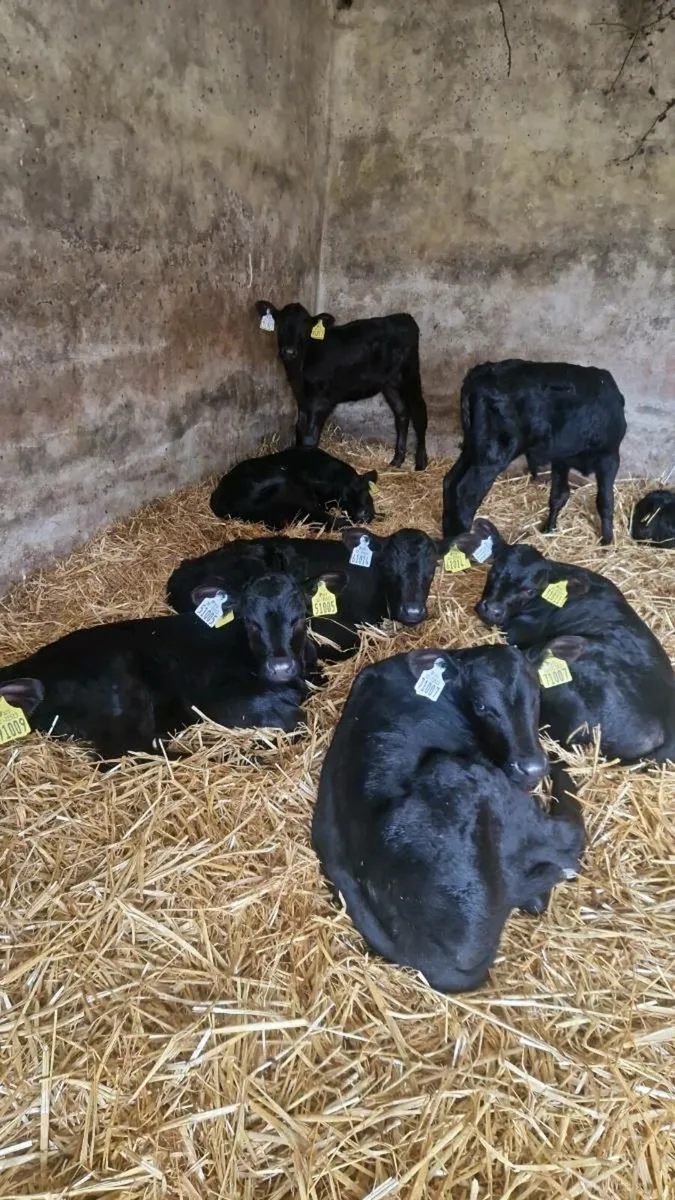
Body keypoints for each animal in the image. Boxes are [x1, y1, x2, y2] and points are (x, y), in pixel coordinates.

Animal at [255, 300, 428, 470]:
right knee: (402, 414)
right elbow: (299, 431)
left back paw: (421, 462)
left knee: (419, 412)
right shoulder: (302, 400)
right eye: (281, 324)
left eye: (305, 327)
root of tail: (404, 317)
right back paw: (397, 460)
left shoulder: (321, 402)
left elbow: (309, 438)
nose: (289, 352)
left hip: (410, 376)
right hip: (390, 384)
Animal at [442, 359, 627, 544]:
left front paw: (549, 529)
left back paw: (449, 537)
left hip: (473, 449)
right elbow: (605, 501)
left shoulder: (561, 458)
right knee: (466, 494)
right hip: (493, 454)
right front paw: (607, 540)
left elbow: (559, 495)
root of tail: (481, 373)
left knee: (450, 482)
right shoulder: (610, 456)